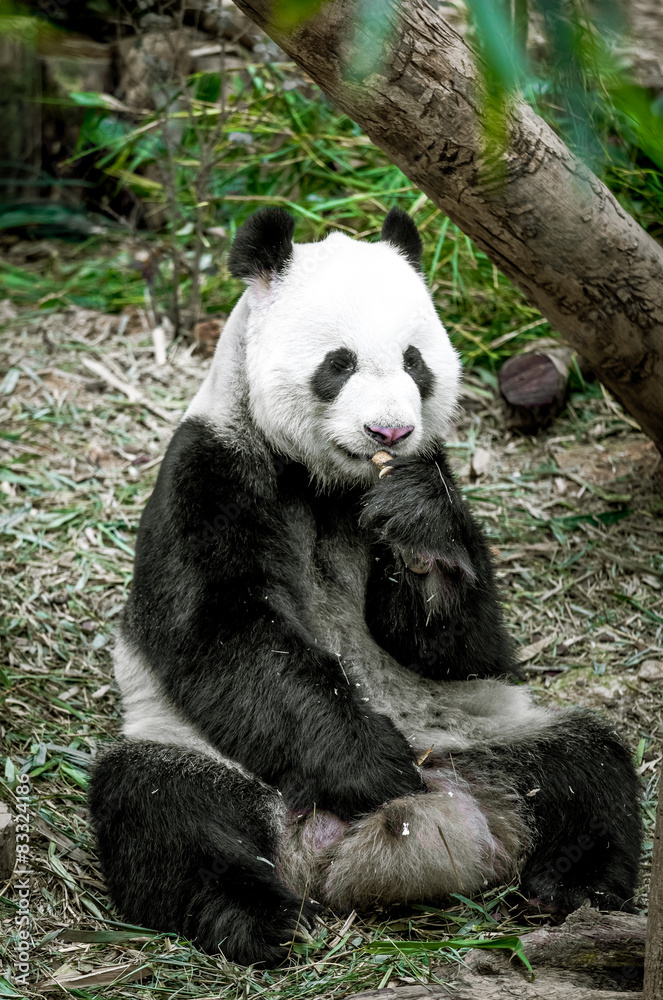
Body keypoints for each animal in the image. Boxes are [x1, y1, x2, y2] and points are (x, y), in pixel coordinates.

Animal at [89, 207, 642, 967]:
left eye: (415, 361)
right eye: (338, 363)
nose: (391, 430)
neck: (332, 482)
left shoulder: (431, 475)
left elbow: (463, 646)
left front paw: (416, 533)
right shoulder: (211, 469)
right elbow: (222, 629)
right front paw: (370, 765)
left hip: (490, 732)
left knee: (588, 764)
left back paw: (573, 886)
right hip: (202, 753)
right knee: (162, 809)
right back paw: (258, 916)